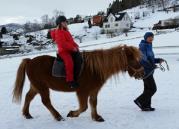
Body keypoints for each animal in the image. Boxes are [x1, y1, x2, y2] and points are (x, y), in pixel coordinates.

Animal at [12, 45, 144, 122]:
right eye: (132, 59)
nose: (142, 73)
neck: (94, 68)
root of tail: (29, 61)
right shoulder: (82, 91)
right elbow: (84, 106)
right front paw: (72, 114)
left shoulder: (94, 90)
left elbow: (93, 103)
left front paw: (96, 117)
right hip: (42, 87)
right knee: (46, 102)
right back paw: (57, 116)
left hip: (36, 86)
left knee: (28, 97)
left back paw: (27, 114)